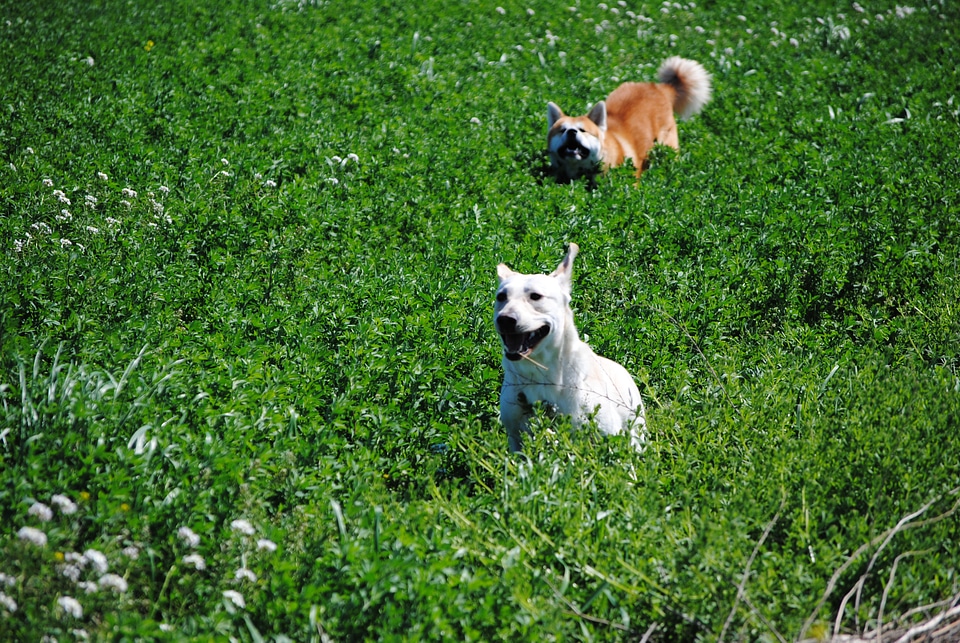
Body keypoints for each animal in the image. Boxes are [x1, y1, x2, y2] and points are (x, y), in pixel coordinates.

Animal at [496, 244, 644, 450]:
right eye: (501, 297)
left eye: (536, 296)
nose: (504, 319)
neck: (541, 375)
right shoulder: (516, 438)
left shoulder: (607, 435)